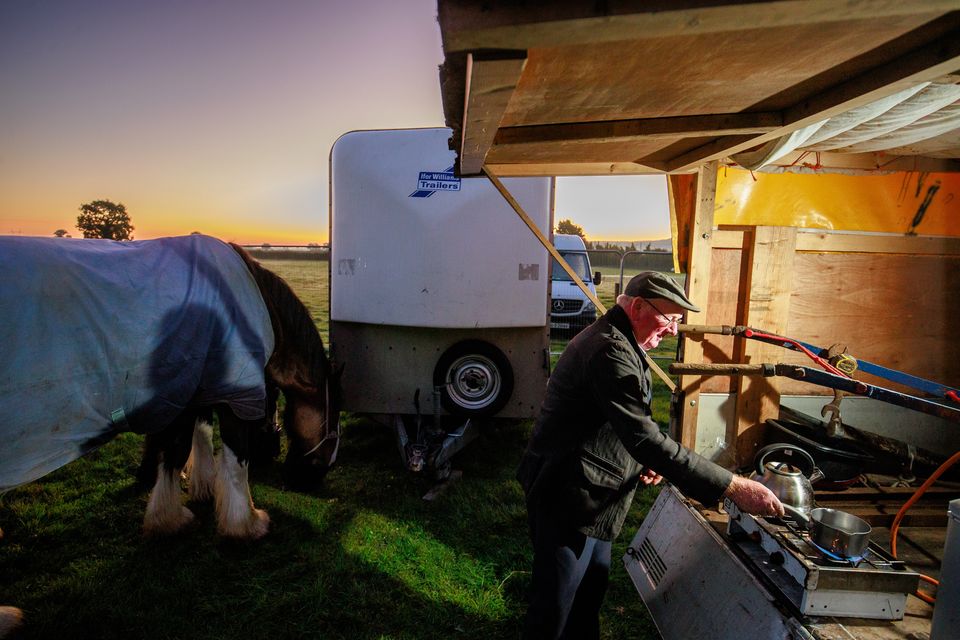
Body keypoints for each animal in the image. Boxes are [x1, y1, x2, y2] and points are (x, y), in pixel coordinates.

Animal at [0, 235, 344, 540]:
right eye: (334, 425)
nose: (306, 480)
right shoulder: (234, 396)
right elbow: (228, 458)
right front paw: (245, 524)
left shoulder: (194, 392)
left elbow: (185, 444)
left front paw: (179, 508)